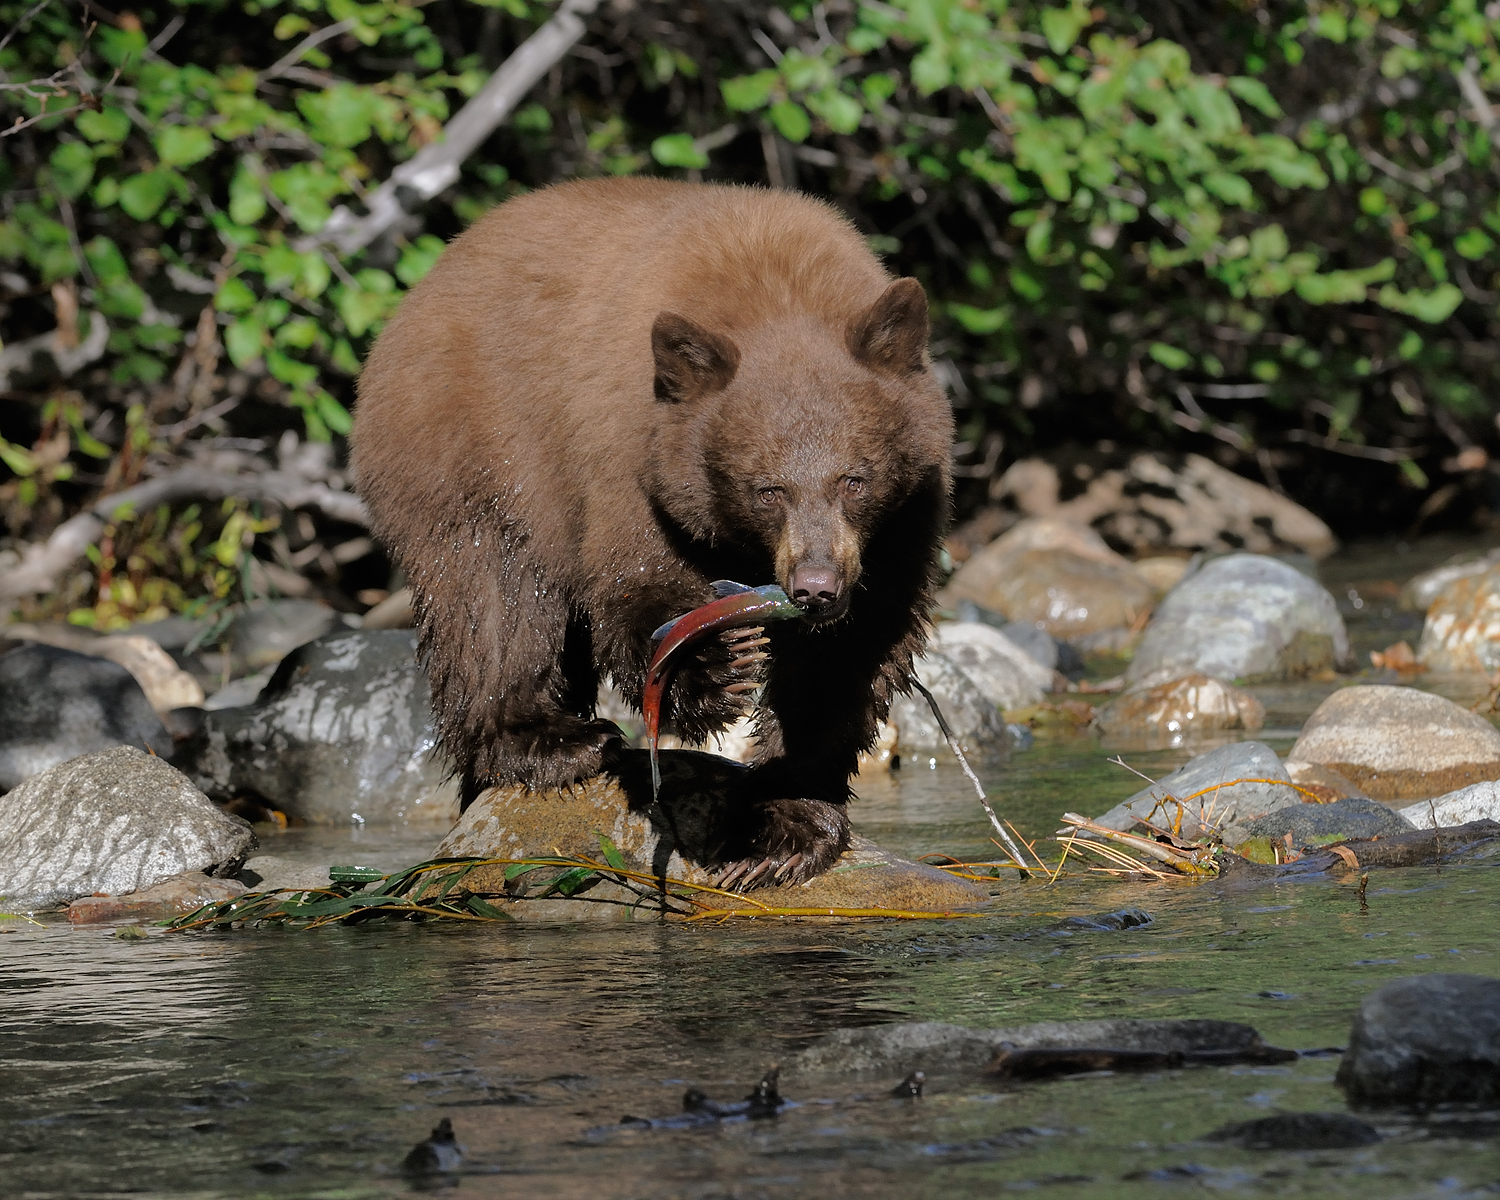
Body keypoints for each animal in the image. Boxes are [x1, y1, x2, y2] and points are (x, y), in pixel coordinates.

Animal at [354, 180, 948, 888]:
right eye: (767, 489)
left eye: (854, 480)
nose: (815, 587)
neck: (776, 288)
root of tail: (420, 290)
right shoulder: (631, 453)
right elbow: (636, 578)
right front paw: (720, 666)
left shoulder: (903, 520)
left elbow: (851, 657)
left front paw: (783, 828)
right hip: (468, 448)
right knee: (493, 596)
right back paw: (551, 740)